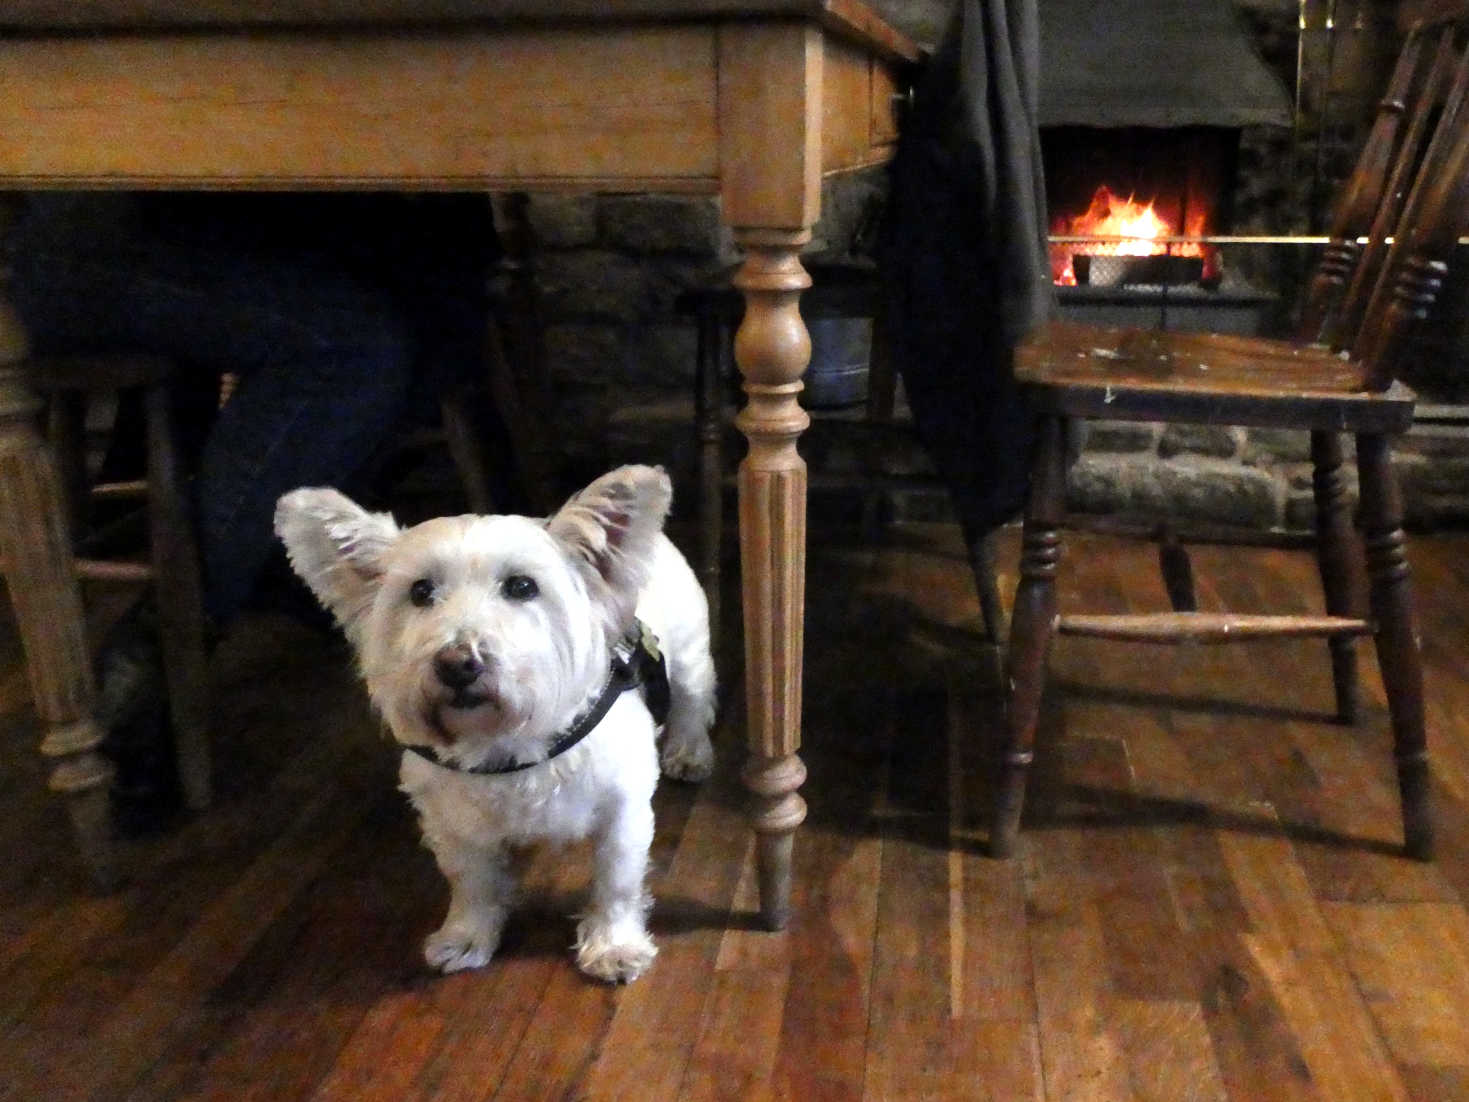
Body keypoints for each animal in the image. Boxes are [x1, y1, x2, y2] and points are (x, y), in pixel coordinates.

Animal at [276, 467, 716, 981]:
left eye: (522, 587)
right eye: (420, 592)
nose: (457, 664)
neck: (504, 743)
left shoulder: (621, 810)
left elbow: (616, 881)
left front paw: (614, 946)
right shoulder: (450, 823)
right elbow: (472, 882)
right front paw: (467, 937)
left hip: (688, 655)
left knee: (693, 701)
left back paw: (689, 752)